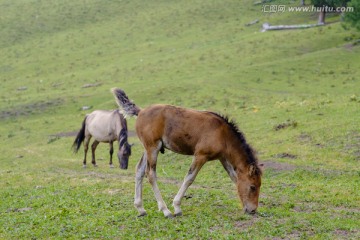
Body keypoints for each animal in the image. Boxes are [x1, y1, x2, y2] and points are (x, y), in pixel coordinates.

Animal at [111, 88, 262, 218]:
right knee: (151, 174)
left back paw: (140, 208)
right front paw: (177, 207)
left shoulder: (223, 158)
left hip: (147, 149)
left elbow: (234, 178)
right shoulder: (200, 156)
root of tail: (141, 111)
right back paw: (165, 210)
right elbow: (189, 178)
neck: (222, 134)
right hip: (153, 148)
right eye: (253, 187)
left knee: (139, 171)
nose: (252, 210)